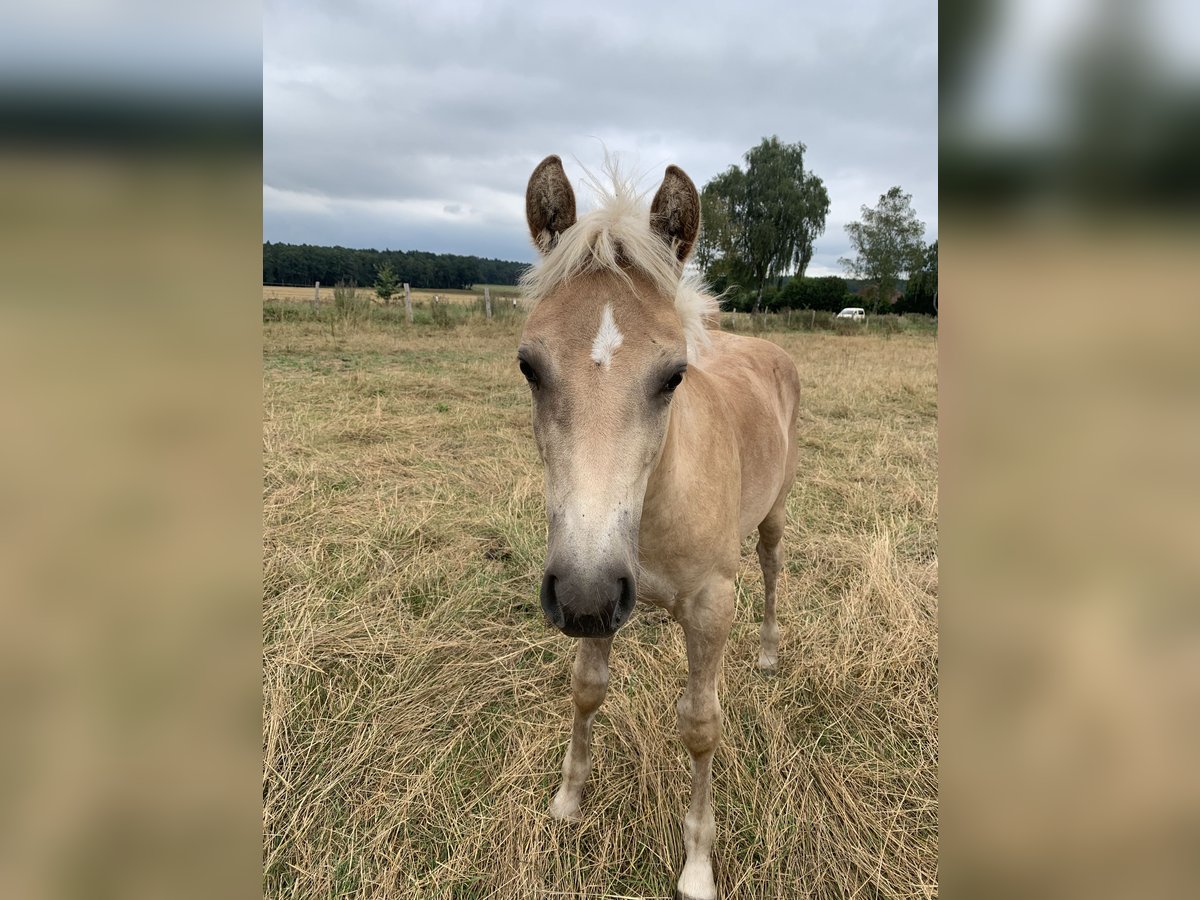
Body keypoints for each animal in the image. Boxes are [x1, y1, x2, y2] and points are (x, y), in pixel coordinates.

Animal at [513, 157, 796, 900]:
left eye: (673, 375)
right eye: (528, 365)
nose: (583, 594)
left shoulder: (710, 604)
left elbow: (700, 725)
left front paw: (697, 865)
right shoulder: (598, 586)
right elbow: (587, 689)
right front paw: (567, 800)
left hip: (775, 517)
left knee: (772, 568)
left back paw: (768, 653)